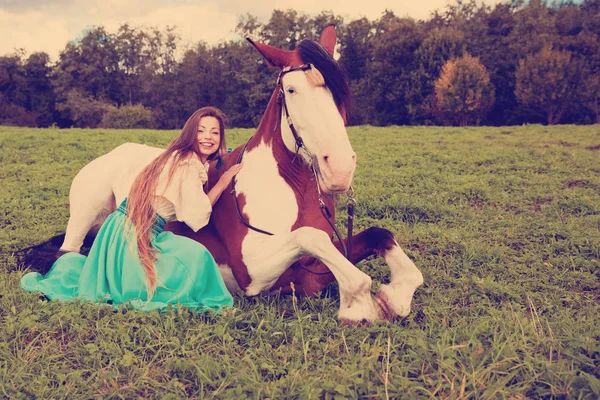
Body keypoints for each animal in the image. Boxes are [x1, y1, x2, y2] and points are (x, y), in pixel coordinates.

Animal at [48, 25, 422, 324]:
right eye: (291, 90)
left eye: (339, 89)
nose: (340, 168)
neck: (289, 189)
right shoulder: (253, 273)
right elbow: (310, 238)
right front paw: (358, 304)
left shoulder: (311, 270)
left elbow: (379, 235)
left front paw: (395, 296)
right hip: (83, 216)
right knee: (68, 253)